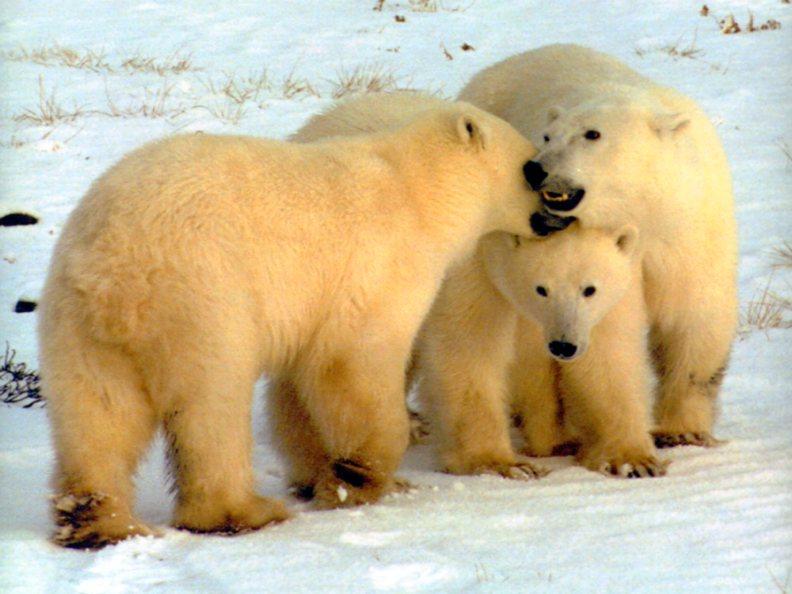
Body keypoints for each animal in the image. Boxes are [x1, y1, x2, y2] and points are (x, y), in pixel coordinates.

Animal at [420, 222, 668, 476]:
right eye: (541, 289)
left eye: (589, 289)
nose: (563, 345)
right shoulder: (471, 266)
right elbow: (468, 344)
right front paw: (499, 463)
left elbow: (606, 357)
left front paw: (633, 461)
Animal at [460, 45, 740, 444]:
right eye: (548, 136)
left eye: (592, 134)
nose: (534, 169)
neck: (643, 211)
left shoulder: (688, 229)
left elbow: (695, 312)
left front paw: (682, 429)